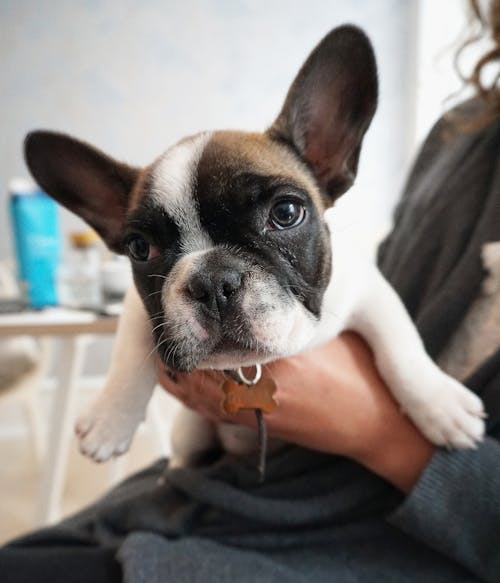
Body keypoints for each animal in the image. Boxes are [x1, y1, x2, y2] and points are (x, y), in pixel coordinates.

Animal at [23, 25, 484, 468]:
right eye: (140, 249)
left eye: (286, 213)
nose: (212, 282)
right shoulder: (143, 307)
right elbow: (128, 350)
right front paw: (109, 420)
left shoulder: (369, 291)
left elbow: (401, 346)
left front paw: (441, 404)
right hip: (190, 435)